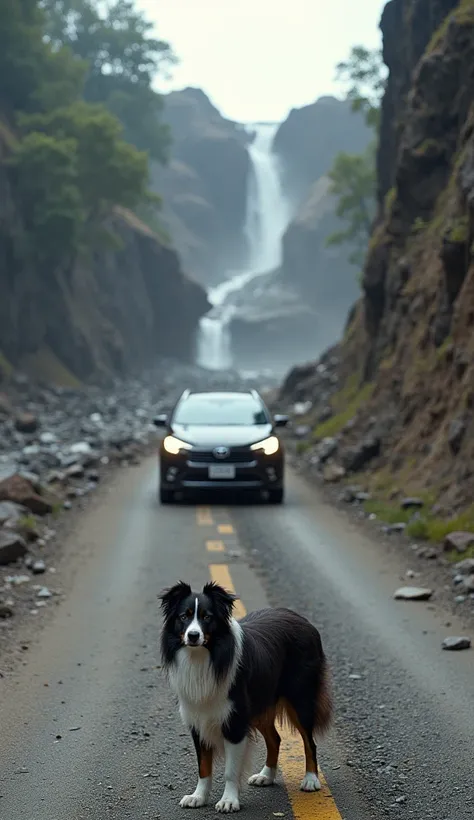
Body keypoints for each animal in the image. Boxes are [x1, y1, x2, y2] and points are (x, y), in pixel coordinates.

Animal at [161, 584, 332, 812]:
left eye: (207, 617)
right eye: (183, 617)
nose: (193, 636)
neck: (205, 656)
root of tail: (302, 620)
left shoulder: (235, 720)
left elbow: (230, 770)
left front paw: (228, 800)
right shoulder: (198, 718)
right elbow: (203, 766)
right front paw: (198, 797)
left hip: (300, 698)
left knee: (309, 741)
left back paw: (311, 779)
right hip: (259, 705)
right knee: (275, 739)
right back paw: (266, 776)